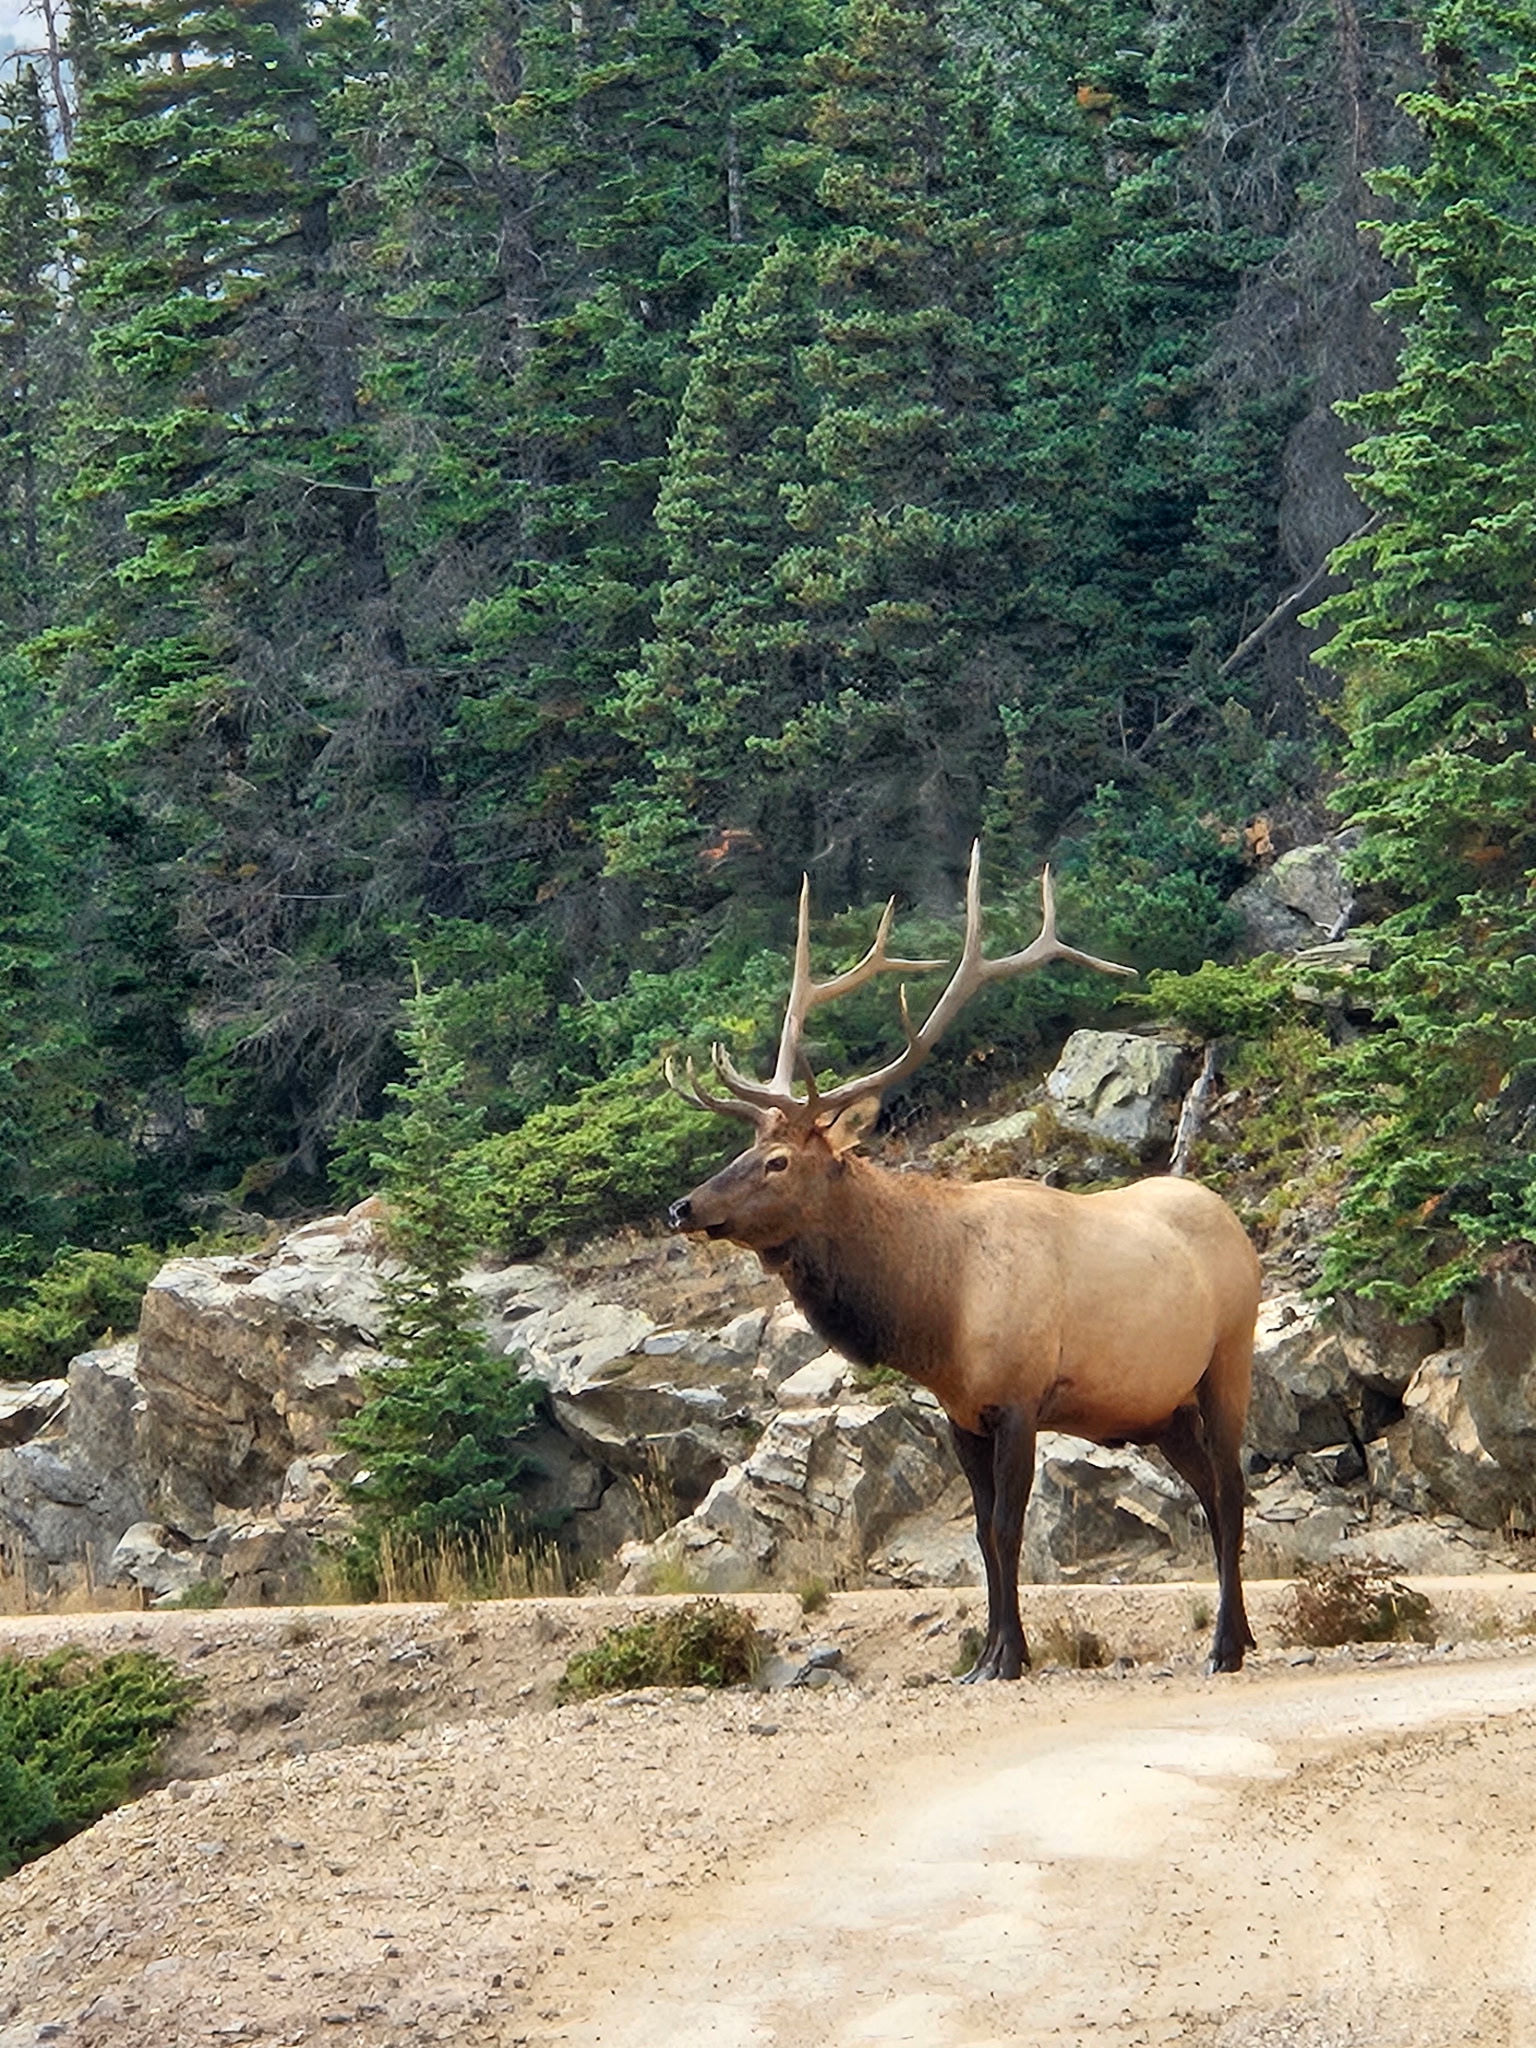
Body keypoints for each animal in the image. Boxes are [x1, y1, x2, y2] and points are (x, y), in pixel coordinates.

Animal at [664, 844, 1262, 1679]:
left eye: (778, 1161)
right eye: (744, 1150)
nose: (683, 1207)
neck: (937, 1307)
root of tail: (1233, 1223)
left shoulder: (1018, 1397)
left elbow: (1009, 1529)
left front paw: (1008, 1656)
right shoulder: (961, 1412)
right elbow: (982, 1536)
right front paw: (987, 1655)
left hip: (1226, 1359)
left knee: (1233, 1492)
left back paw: (1225, 1645)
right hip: (1159, 1406)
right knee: (1210, 1496)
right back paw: (1240, 1637)